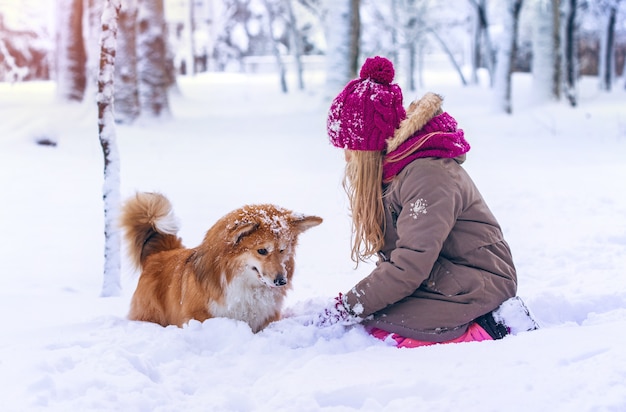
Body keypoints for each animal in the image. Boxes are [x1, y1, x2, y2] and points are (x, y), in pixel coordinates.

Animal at [118, 192, 322, 332]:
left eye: (282, 250)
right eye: (262, 250)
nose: (281, 281)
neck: (243, 284)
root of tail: (162, 252)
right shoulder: (199, 316)